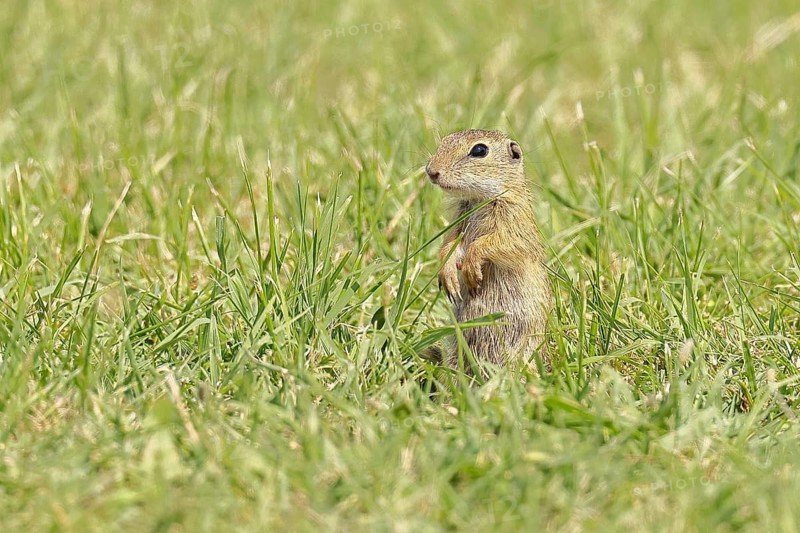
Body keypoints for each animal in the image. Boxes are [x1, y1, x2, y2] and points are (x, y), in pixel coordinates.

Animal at [425, 129, 552, 369]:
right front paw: (449, 276)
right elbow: (449, 246)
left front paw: (472, 269)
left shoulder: (513, 222)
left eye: (479, 150)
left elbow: (496, 243)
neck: (480, 199)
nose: (431, 171)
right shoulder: (458, 223)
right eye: (445, 141)